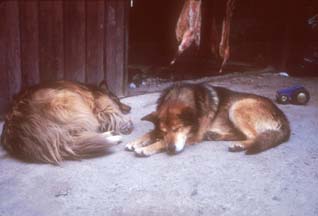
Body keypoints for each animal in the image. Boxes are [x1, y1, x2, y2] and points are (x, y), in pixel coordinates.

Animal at [0, 80, 132, 164]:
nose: (130, 108)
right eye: (117, 99)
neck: (93, 90)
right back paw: (112, 137)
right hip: (72, 101)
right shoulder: (102, 106)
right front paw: (126, 124)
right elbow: (114, 115)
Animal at [125, 82, 290, 155]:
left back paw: (239, 145)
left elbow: (161, 142)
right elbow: (151, 134)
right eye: (165, 131)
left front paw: (147, 148)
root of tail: (283, 117)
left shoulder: (194, 135)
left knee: (254, 136)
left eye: (177, 129)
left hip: (237, 107)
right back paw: (215, 136)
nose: (171, 150)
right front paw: (135, 142)